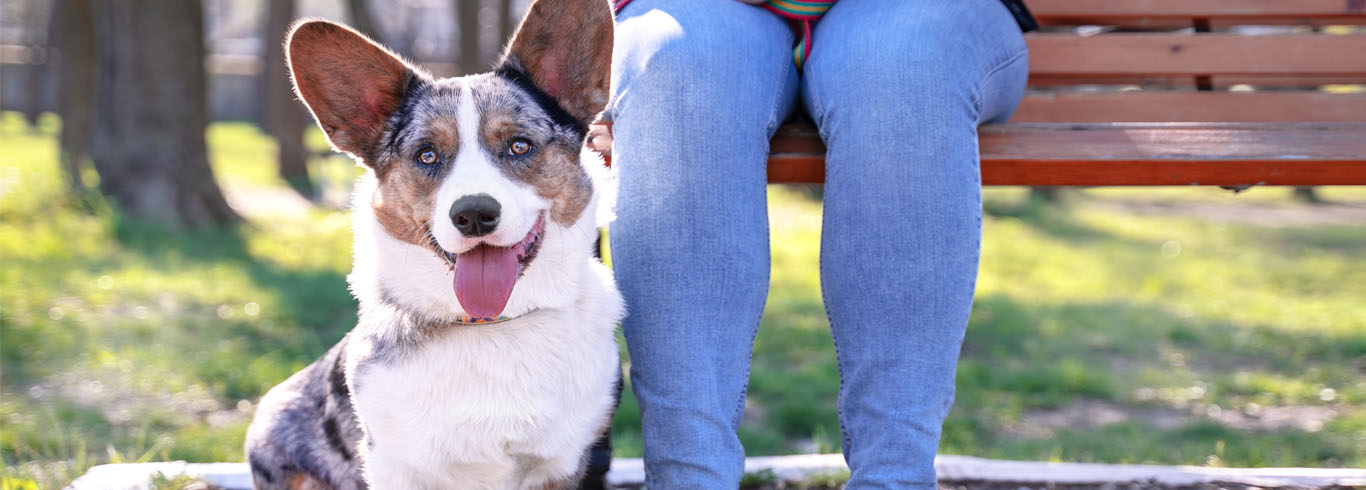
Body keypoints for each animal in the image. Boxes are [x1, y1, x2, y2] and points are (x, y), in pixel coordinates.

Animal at [245, 1, 625, 488]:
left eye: (520, 146)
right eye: (426, 154)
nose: (474, 214)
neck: (492, 326)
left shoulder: (564, 465)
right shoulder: (398, 468)